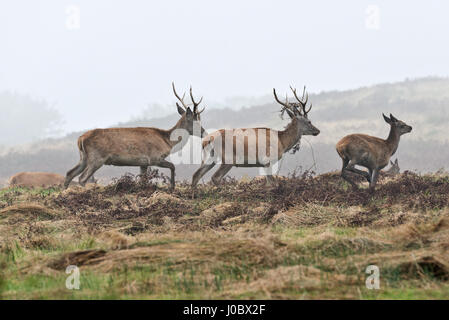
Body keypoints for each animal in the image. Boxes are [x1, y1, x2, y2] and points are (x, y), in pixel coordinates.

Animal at [64, 82, 206, 190]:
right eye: (195, 121)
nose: (204, 133)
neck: (167, 141)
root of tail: (80, 139)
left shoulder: (143, 163)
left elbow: (142, 179)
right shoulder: (154, 158)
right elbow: (172, 166)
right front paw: (172, 187)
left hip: (84, 158)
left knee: (69, 173)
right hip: (97, 158)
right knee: (82, 178)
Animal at [191, 87, 320, 188]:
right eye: (309, 121)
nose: (317, 131)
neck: (282, 142)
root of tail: (207, 140)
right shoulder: (267, 160)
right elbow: (273, 183)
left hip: (210, 156)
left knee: (196, 174)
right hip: (228, 157)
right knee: (215, 177)